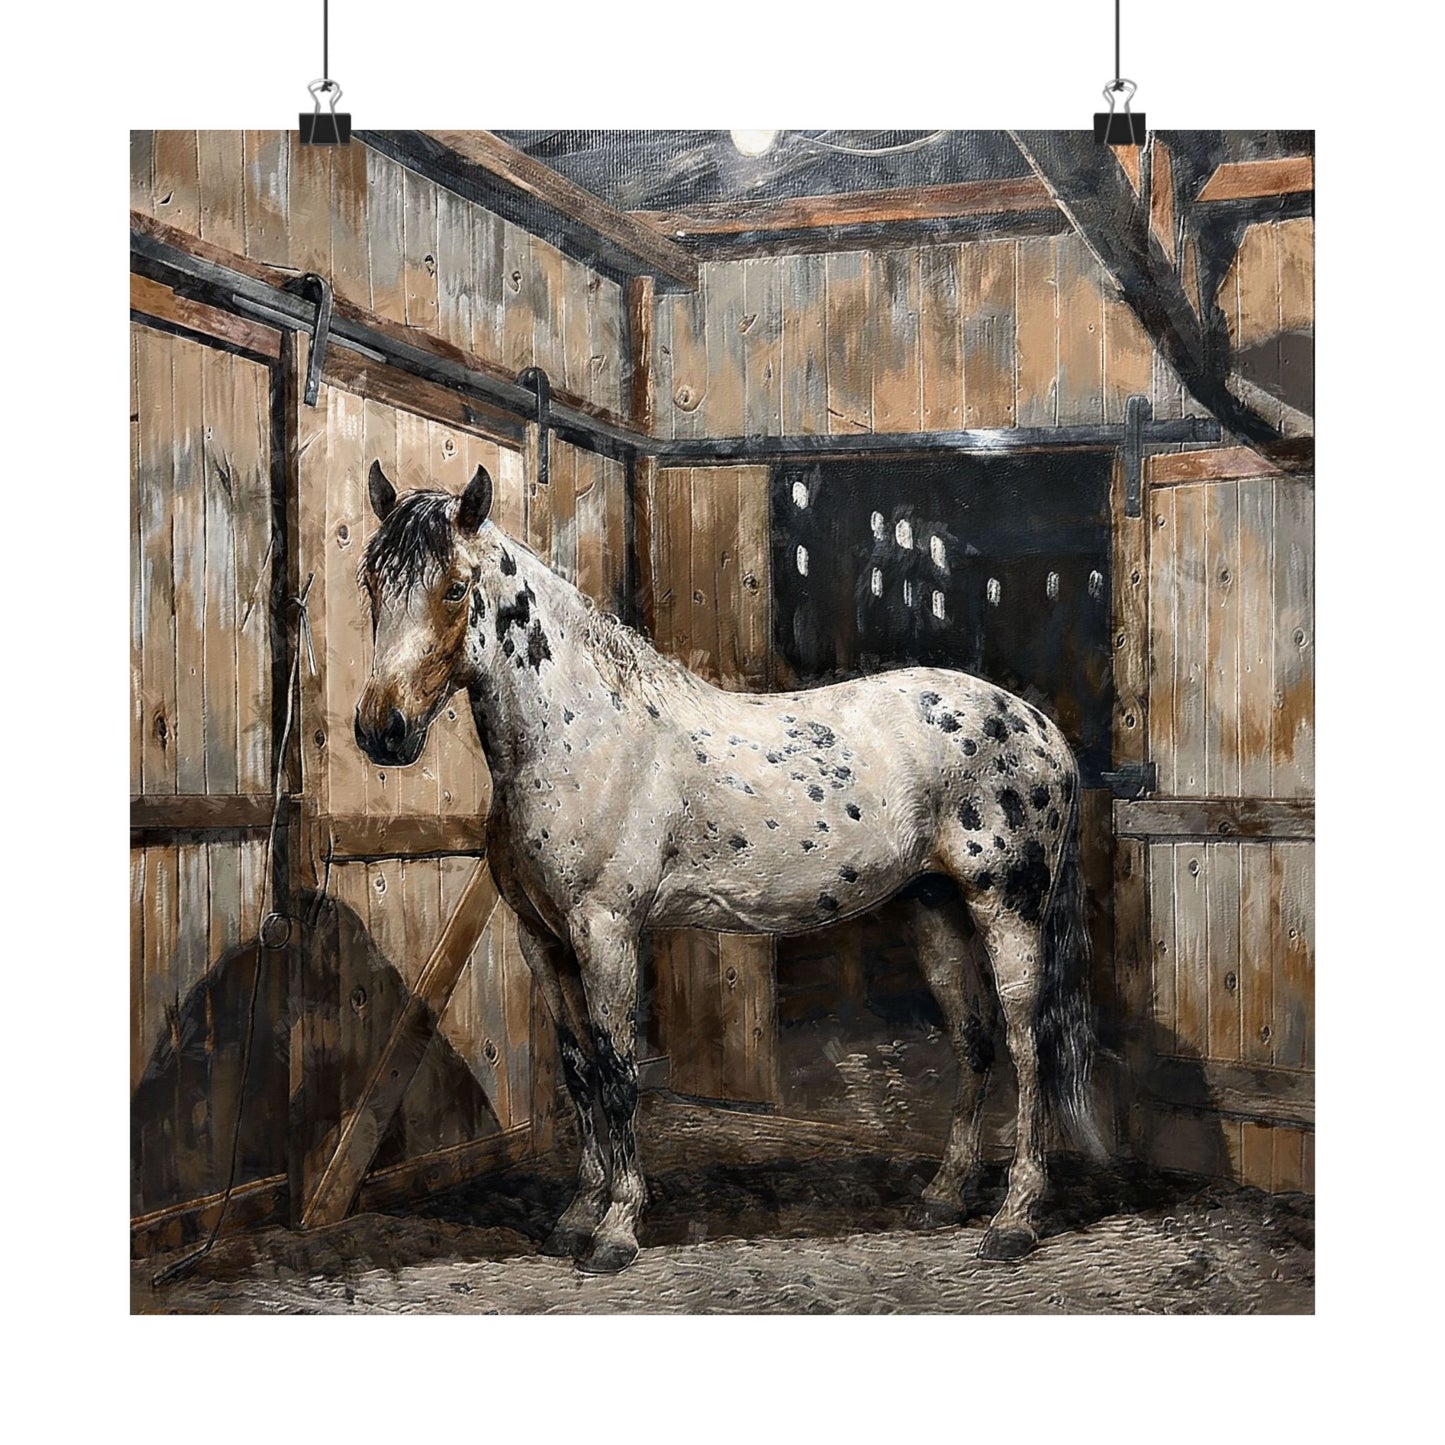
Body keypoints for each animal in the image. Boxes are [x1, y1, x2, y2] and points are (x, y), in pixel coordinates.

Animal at [353, 459, 1098, 1274]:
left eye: (455, 587)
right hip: (932, 904)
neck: (582, 733)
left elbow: (616, 1067)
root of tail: (1040, 727)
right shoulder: (540, 938)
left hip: (1007, 907)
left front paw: (616, 1228)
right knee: (973, 1038)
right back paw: (943, 1195)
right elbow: (578, 1069)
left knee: (1028, 1045)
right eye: (370, 580)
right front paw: (577, 1214)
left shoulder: (606, 928)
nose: (381, 730)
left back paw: (1014, 1219)